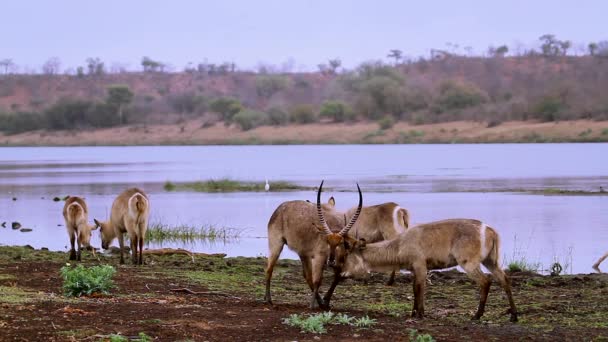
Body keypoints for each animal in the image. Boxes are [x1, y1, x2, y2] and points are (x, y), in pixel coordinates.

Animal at [264, 182, 360, 310]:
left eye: (340, 242)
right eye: (327, 241)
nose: (331, 261)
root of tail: (280, 207)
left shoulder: (340, 259)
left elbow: (337, 276)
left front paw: (325, 301)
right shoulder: (319, 257)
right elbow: (317, 280)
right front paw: (314, 304)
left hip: (303, 254)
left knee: (307, 275)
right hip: (276, 244)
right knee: (269, 269)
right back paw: (268, 300)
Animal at [338, 218, 516, 322]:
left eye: (346, 254)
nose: (340, 274)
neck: (400, 244)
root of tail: (489, 230)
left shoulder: (420, 266)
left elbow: (420, 288)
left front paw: (420, 314)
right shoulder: (413, 269)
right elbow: (414, 289)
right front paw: (413, 312)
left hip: (469, 263)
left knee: (485, 281)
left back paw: (477, 315)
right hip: (490, 261)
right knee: (504, 279)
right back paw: (514, 315)